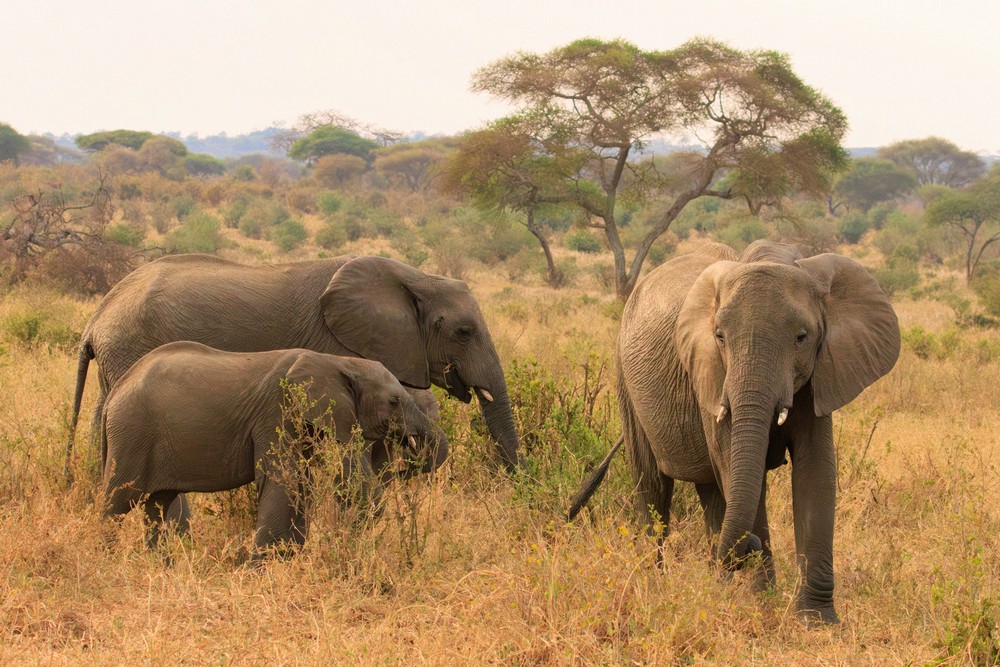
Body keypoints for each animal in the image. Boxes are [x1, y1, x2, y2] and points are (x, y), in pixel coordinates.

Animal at [66, 253, 520, 477]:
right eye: (464, 332)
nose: (515, 483)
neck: (416, 278)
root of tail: (98, 316)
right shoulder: (338, 343)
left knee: (99, 413)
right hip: (130, 346)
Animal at [101, 342, 448, 551]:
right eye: (394, 401)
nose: (406, 459)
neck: (338, 362)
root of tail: (116, 390)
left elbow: (305, 482)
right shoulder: (277, 411)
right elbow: (284, 479)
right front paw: (262, 564)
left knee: (158, 504)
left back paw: (162, 565)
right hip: (132, 434)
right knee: (119, 500)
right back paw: (105, 555)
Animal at [570, 241, 900, 624]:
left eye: (802, 338)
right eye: (720, 337)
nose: (747, 551)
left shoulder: (821, 375)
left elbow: (815, 471)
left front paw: (817, 621)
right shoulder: (711, 372)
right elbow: (735, 467)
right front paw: (763, 605)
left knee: (711, 495)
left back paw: (718, 585)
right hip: (625, 379)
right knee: (653, 485)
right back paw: (654, 585)